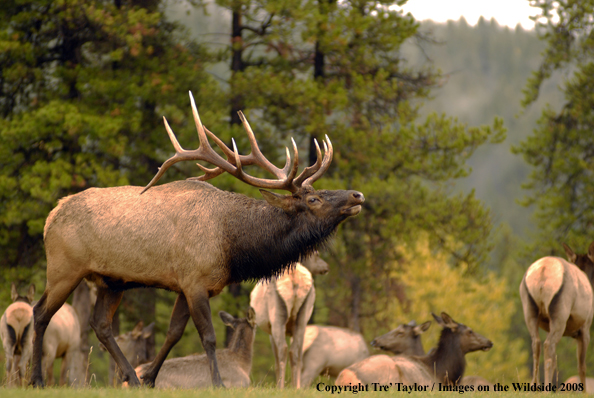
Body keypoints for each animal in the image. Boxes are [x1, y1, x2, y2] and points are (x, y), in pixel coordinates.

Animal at [247, 250, 326, 388]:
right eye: (317, 254)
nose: (326, 266)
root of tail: (294, 278)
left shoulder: (270, 329)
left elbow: (276, 360)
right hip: (302, 317)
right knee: (294, 351)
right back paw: (296, 387)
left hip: (277, 316)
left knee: (283, 349)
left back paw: (280, 386)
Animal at [520, 241, 592, 388]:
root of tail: (543, 272)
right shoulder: (585, 328)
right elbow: (581, 366)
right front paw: (584, 391)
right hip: (559, 316)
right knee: (548, 346)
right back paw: (546, 387)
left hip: (529, 311)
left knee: (536, 344)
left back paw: (534, 386)